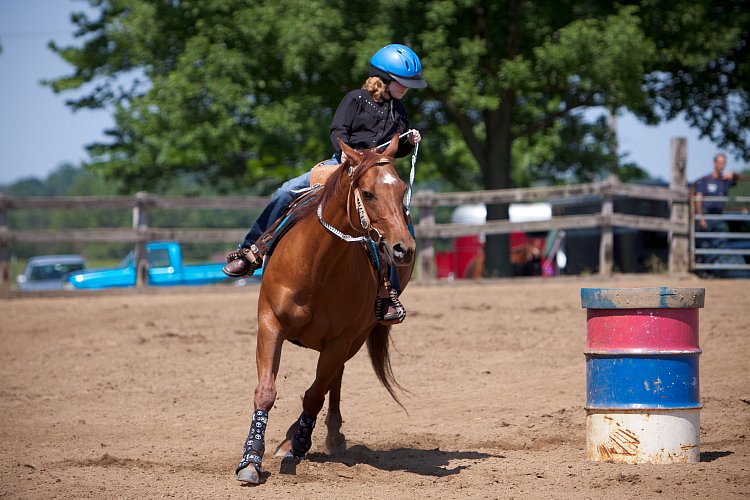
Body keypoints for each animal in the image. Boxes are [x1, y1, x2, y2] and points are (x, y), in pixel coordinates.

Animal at [236, 137, 418, 484]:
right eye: (368, 193)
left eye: (402, 190)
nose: (404, 248)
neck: (315, 265)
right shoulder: (270, 324)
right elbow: (266, 391)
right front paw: (251, 459)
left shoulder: (340, 340)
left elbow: (314, 394)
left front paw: (298, 443)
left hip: (354, 340)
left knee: (333, 381)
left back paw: (322, 436)